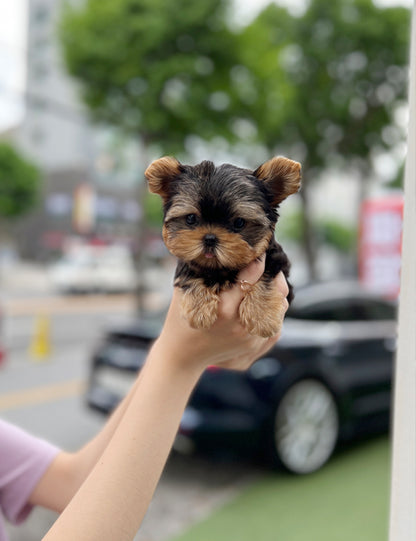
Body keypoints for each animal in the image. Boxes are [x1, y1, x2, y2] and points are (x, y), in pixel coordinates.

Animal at [145, 154, 300, 336]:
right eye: (191, 218)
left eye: (239, 222)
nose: (210, 238)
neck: (220, 269)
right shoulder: (187, 263)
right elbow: (190, 273)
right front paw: (199, 310)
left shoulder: (276, 259)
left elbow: (266, 276)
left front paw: (262, 316)